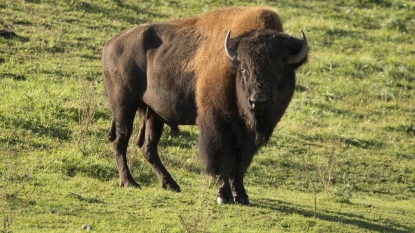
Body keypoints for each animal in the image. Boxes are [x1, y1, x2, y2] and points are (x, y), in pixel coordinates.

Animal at [102, 6, 308, 205]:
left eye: (280, 69)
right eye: (243, 68)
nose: (258, 102)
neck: (231, 66)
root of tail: (111, 44)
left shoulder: (245, 136)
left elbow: (240, 164)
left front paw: (241, 196)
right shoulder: (216, 126)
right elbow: (219, 160)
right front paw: (223, 196)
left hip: (152, 113)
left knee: (147, 146)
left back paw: (170, 184)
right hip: (123, 104)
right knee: (120, 139)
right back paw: (129, 182)